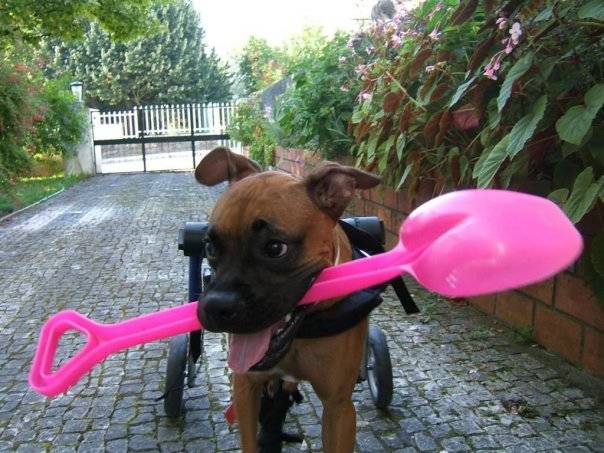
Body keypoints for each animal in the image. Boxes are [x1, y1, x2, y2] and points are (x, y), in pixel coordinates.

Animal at [196, 147, 380, 450]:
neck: (301, 331)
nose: (215, 306)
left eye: (275, 248)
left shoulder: (338, 408)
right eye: (209, 246)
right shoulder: (245, 388)